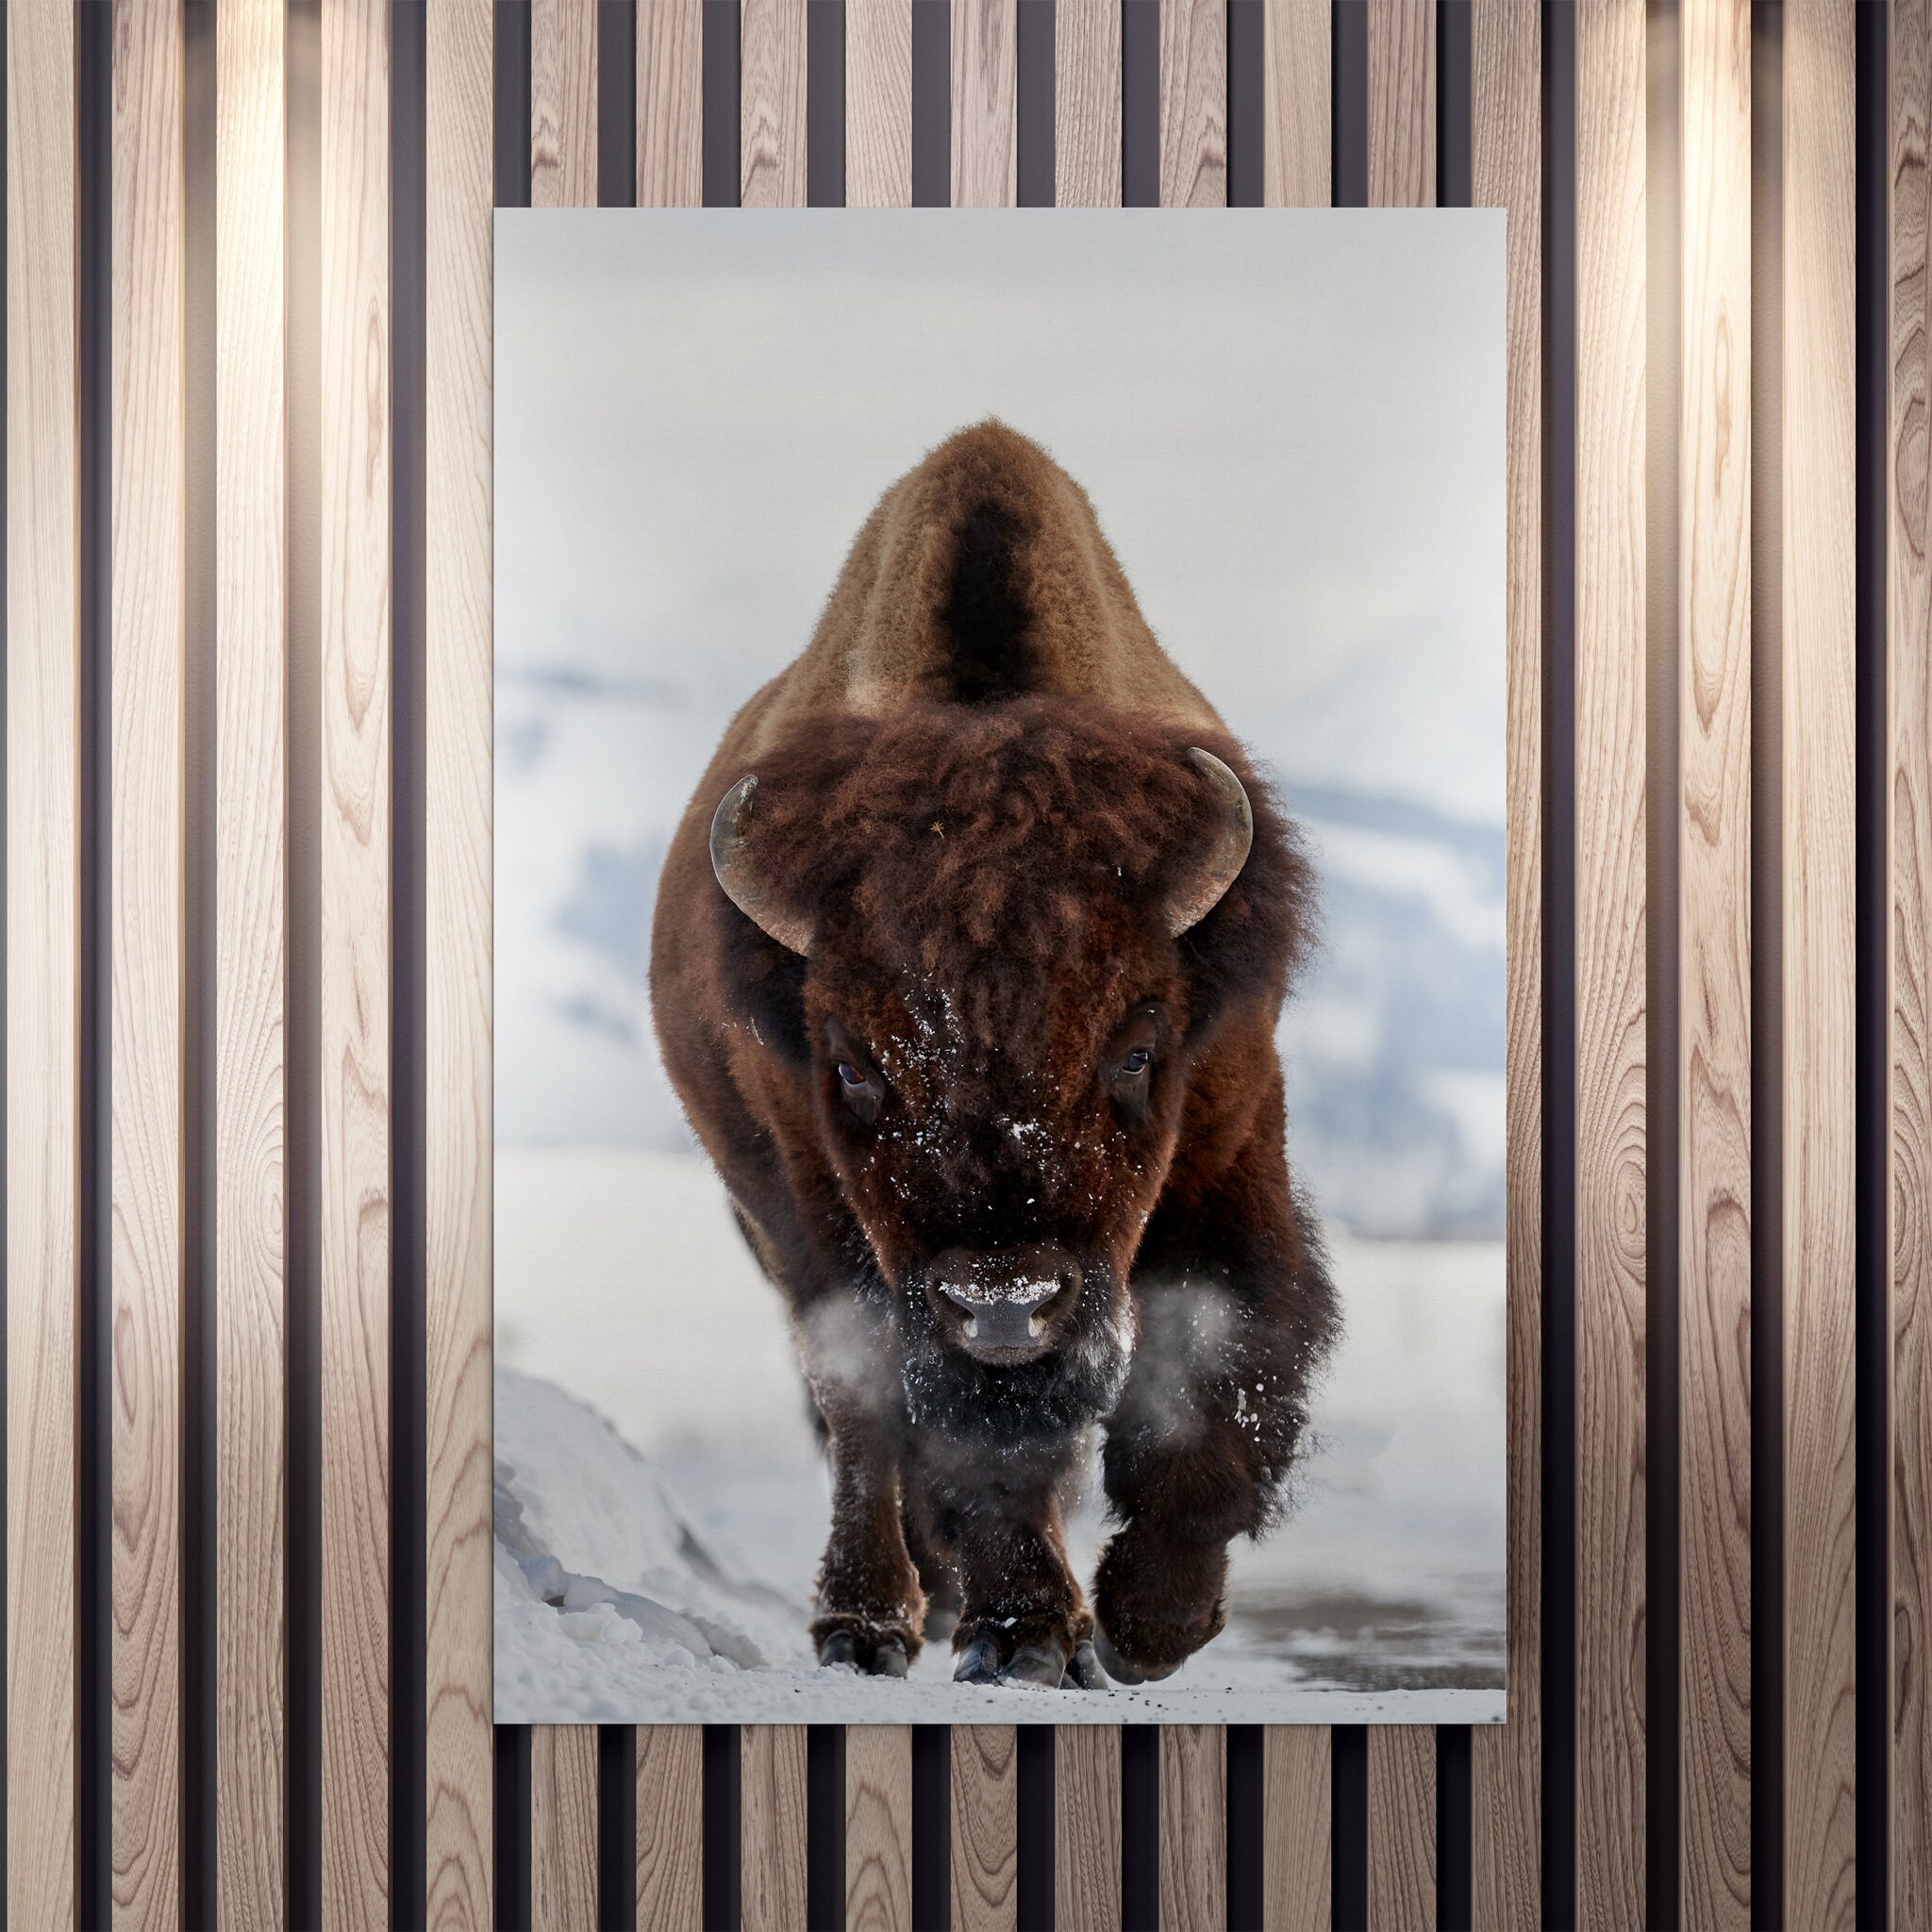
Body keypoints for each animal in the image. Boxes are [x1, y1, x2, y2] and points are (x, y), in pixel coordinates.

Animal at [650, 422, 1338, 1689]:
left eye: (1137, 1049)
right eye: (853, 1066)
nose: (1005, 1307)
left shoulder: (1228, 1135)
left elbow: (1226, 1356)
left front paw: (1147, 1622)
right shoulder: (828, 1209)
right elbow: (943, 1427)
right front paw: (1023, 1632)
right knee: (861, 1413)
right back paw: (871, 1619)